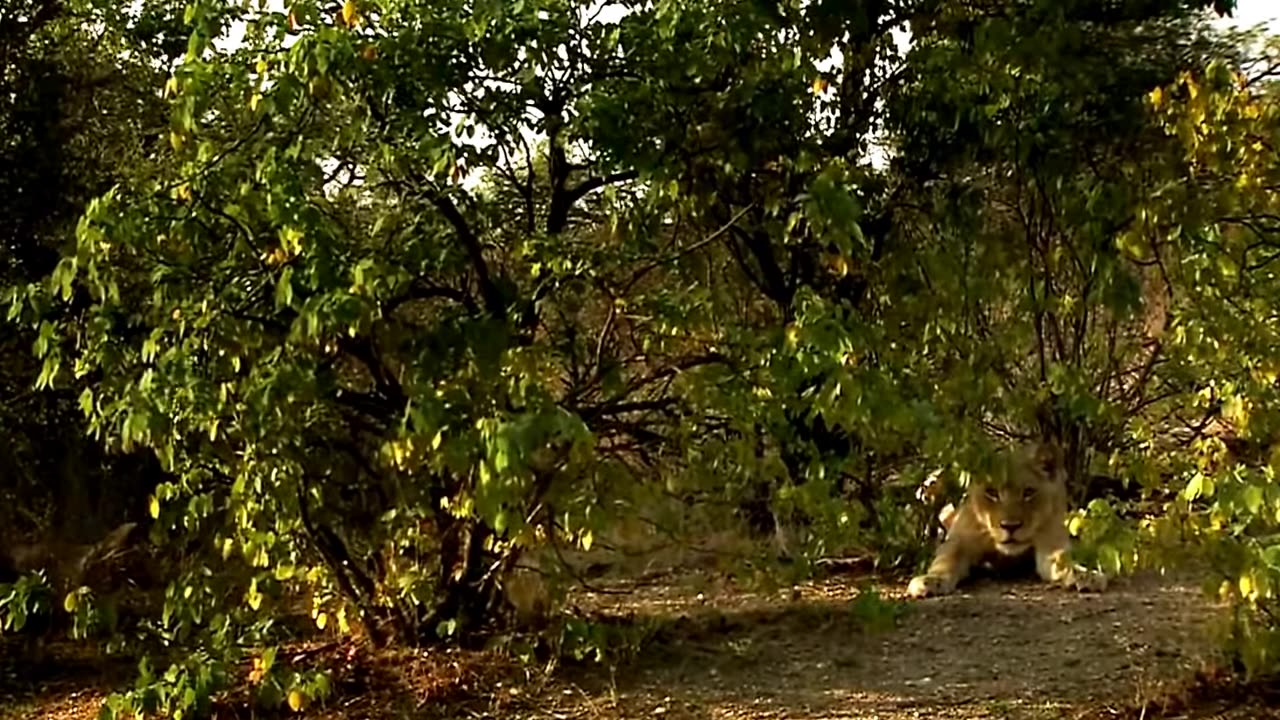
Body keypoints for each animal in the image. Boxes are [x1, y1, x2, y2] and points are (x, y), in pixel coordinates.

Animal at [906, 440, 1105, 597]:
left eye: (1028, 492)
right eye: (992, 492)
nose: (1010, 526)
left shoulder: (1050, 542)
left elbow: (1063, 559)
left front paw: (1086, 575)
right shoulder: (960, 539)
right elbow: (946, 560)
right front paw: (930, 581)